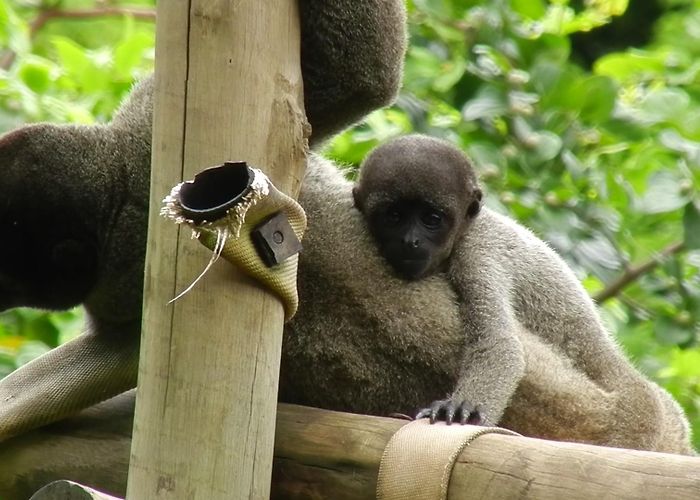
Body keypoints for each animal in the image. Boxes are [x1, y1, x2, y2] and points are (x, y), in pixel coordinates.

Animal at [344, 133, 693, 453]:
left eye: (432, 219)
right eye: (394, 216)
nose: (411, 241)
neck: (464, 232)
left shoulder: (478, 253)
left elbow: (500, 347)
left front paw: (462, 408)